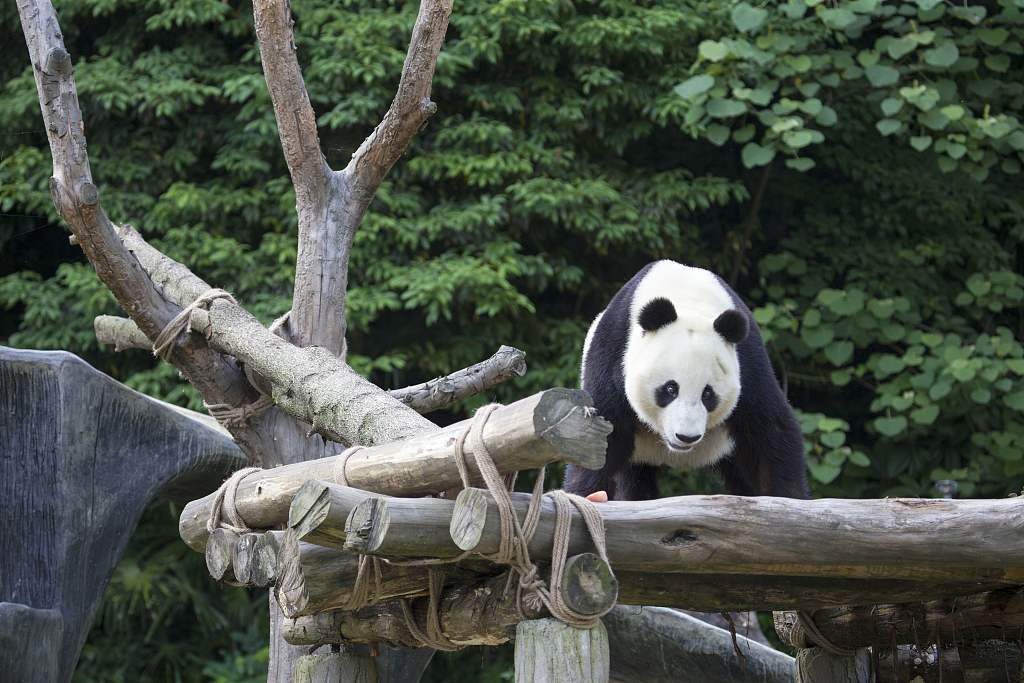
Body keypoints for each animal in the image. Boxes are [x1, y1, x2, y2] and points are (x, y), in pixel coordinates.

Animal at [565, 259, 811, 499]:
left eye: (708, 394)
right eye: (670, 389)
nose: (686, 437)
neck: (687, 300)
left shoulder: (748, 364)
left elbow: (771, 434)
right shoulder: (614, 353)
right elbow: (603, 436)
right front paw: (587, 493)